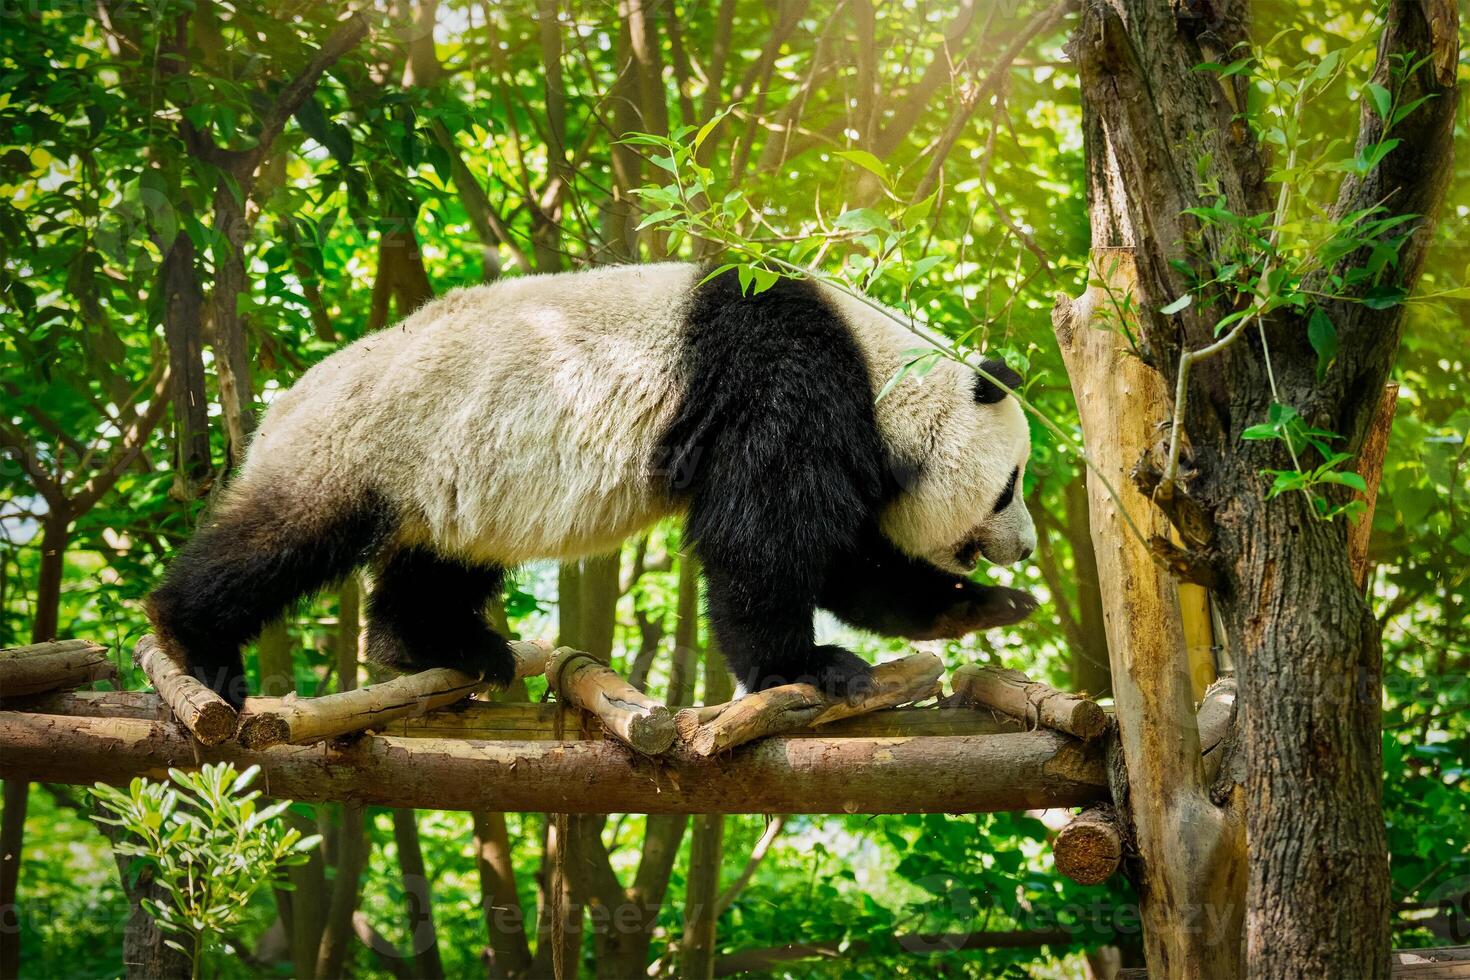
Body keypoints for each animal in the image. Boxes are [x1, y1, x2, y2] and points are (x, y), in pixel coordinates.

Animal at [146, 260, 1034, 708]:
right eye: (1010, 485)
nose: (1025, 549)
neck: (881, 369)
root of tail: (280, 402)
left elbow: (850, 561)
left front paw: (985, 608)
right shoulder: (784, 383)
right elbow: (764, 545)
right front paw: (808, 668)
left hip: (448, 478)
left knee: (438, 563)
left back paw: (445, 646)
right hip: (364, 443)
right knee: (280, 541)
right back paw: (198, 644)